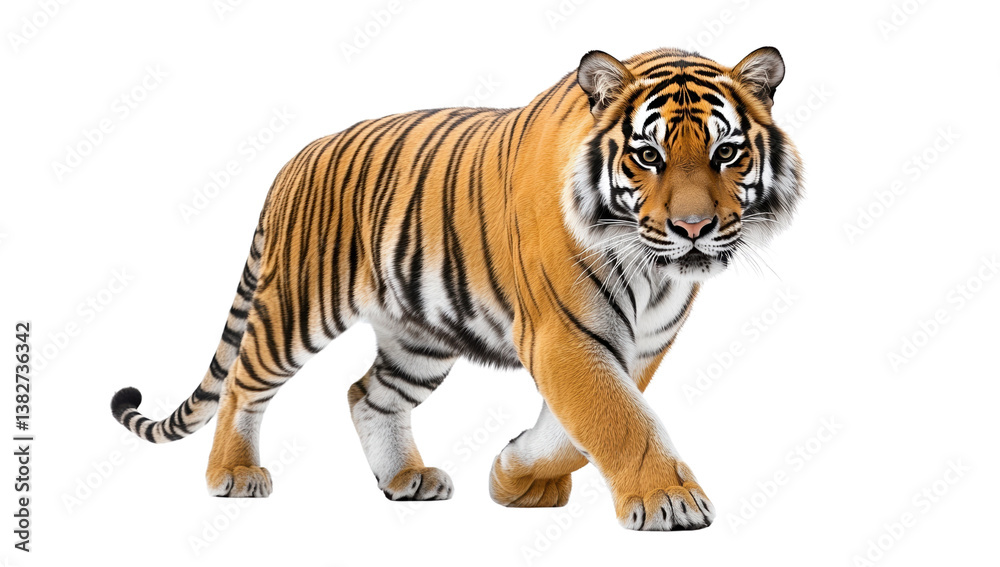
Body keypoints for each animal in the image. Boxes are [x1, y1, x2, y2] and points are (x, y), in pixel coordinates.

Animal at [110, 46, 802, 531]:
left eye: (727, 153)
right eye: (649, 156)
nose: (694, 228)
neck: (653, 270)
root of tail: (293, 161)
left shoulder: (641, 346)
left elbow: (576, 429)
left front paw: (515, 473)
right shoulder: (564, 335)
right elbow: (619, 419)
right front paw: (670, 500)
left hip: (419, 337)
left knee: (368, 394)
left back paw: (406, 478)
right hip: (297, 308)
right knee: (243, 383)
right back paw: (234, 473)